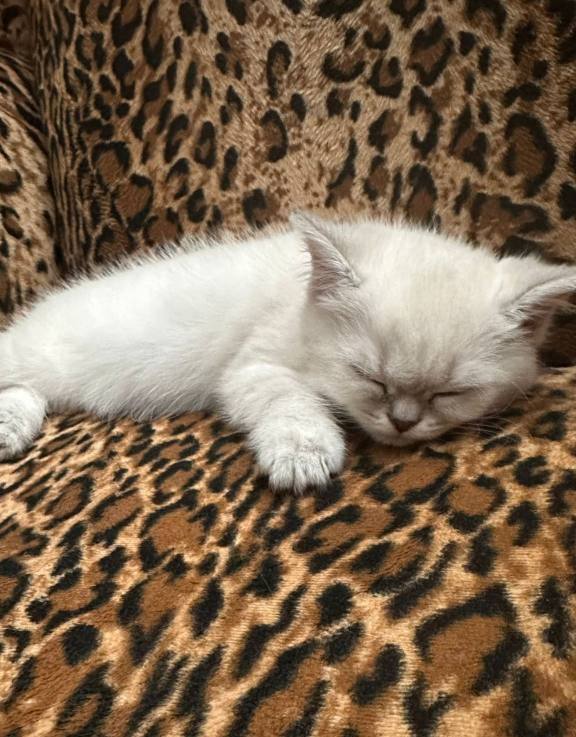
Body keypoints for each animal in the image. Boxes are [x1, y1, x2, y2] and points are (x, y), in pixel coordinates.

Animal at [0, 211, 575, 492]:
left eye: (451, 393)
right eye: (368, 376)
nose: (403, 422)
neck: (300, 302)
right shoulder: (251, 366)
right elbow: (289, 398)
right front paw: (303, 452)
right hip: (39, 353)